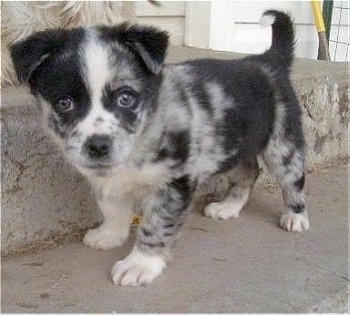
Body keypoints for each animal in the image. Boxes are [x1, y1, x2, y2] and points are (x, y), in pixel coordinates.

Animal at [9, 10, 308, 286]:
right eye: (64, 103)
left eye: (126, 97)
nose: (98, 146)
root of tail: (267, 61)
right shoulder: (109, 178)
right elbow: (112, 206)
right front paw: (110, 235)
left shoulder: (174, 182)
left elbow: (156, 225)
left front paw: (140, 264)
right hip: (233, 146)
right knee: (249, 172)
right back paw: (228, 206)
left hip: (283, 144)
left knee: (292, 179)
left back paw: (295, 217)